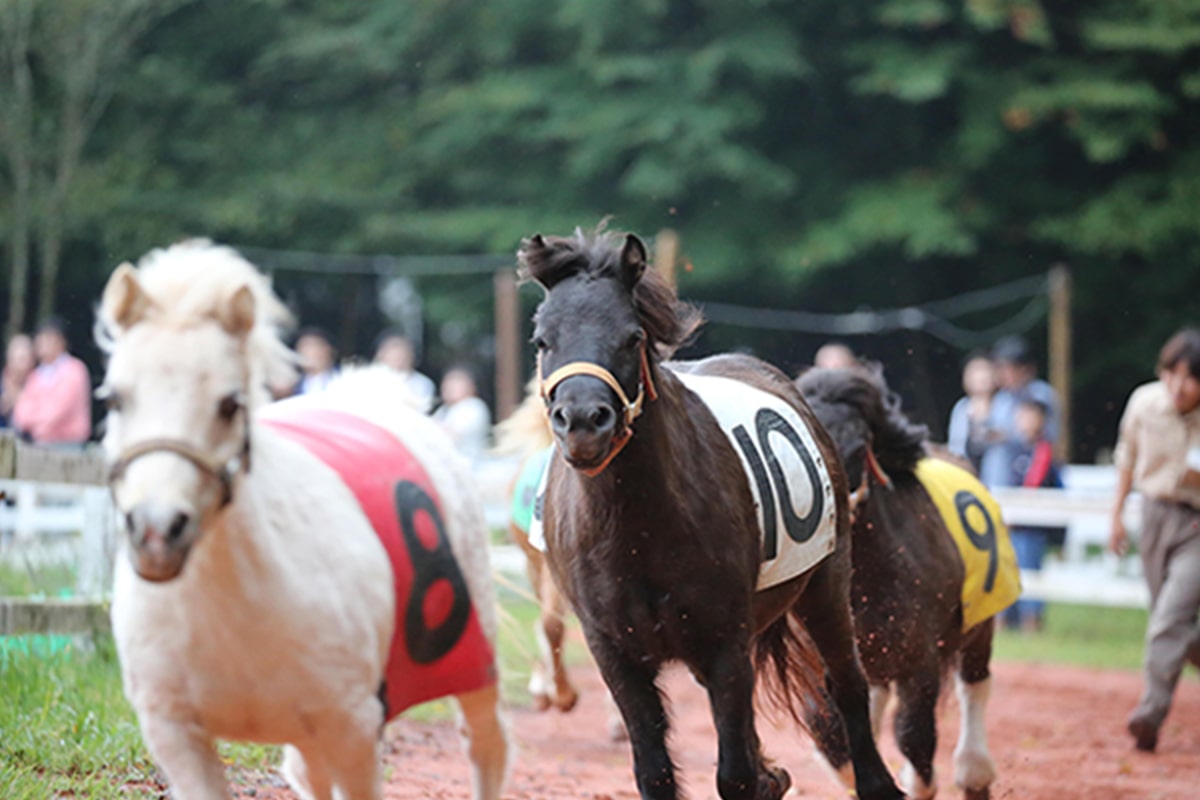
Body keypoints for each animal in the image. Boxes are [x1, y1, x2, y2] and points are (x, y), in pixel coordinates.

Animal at [94, 239, 506, 800]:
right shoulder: (174, 730)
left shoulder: (352, 724)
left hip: (474, 662)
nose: (157, 531)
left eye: (229, 404)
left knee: (485, 744)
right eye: (116, 398)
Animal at [516, 230, 902, 800]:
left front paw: (758, 776)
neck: (638, 528)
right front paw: (766, 775)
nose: (583, 421)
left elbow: (734, 774)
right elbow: (654, 769)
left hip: (826, 582)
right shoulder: (614, 648)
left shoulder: (725, 638)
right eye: (543, 340)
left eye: (632, 336)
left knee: (847, 681)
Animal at [796, 369, 1003, 800]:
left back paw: (974, 772)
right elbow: (829, 733)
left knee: (974, 683)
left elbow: (913, 735)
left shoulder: (918, 660)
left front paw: (916, 782)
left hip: (979, 627)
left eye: (859, 447)